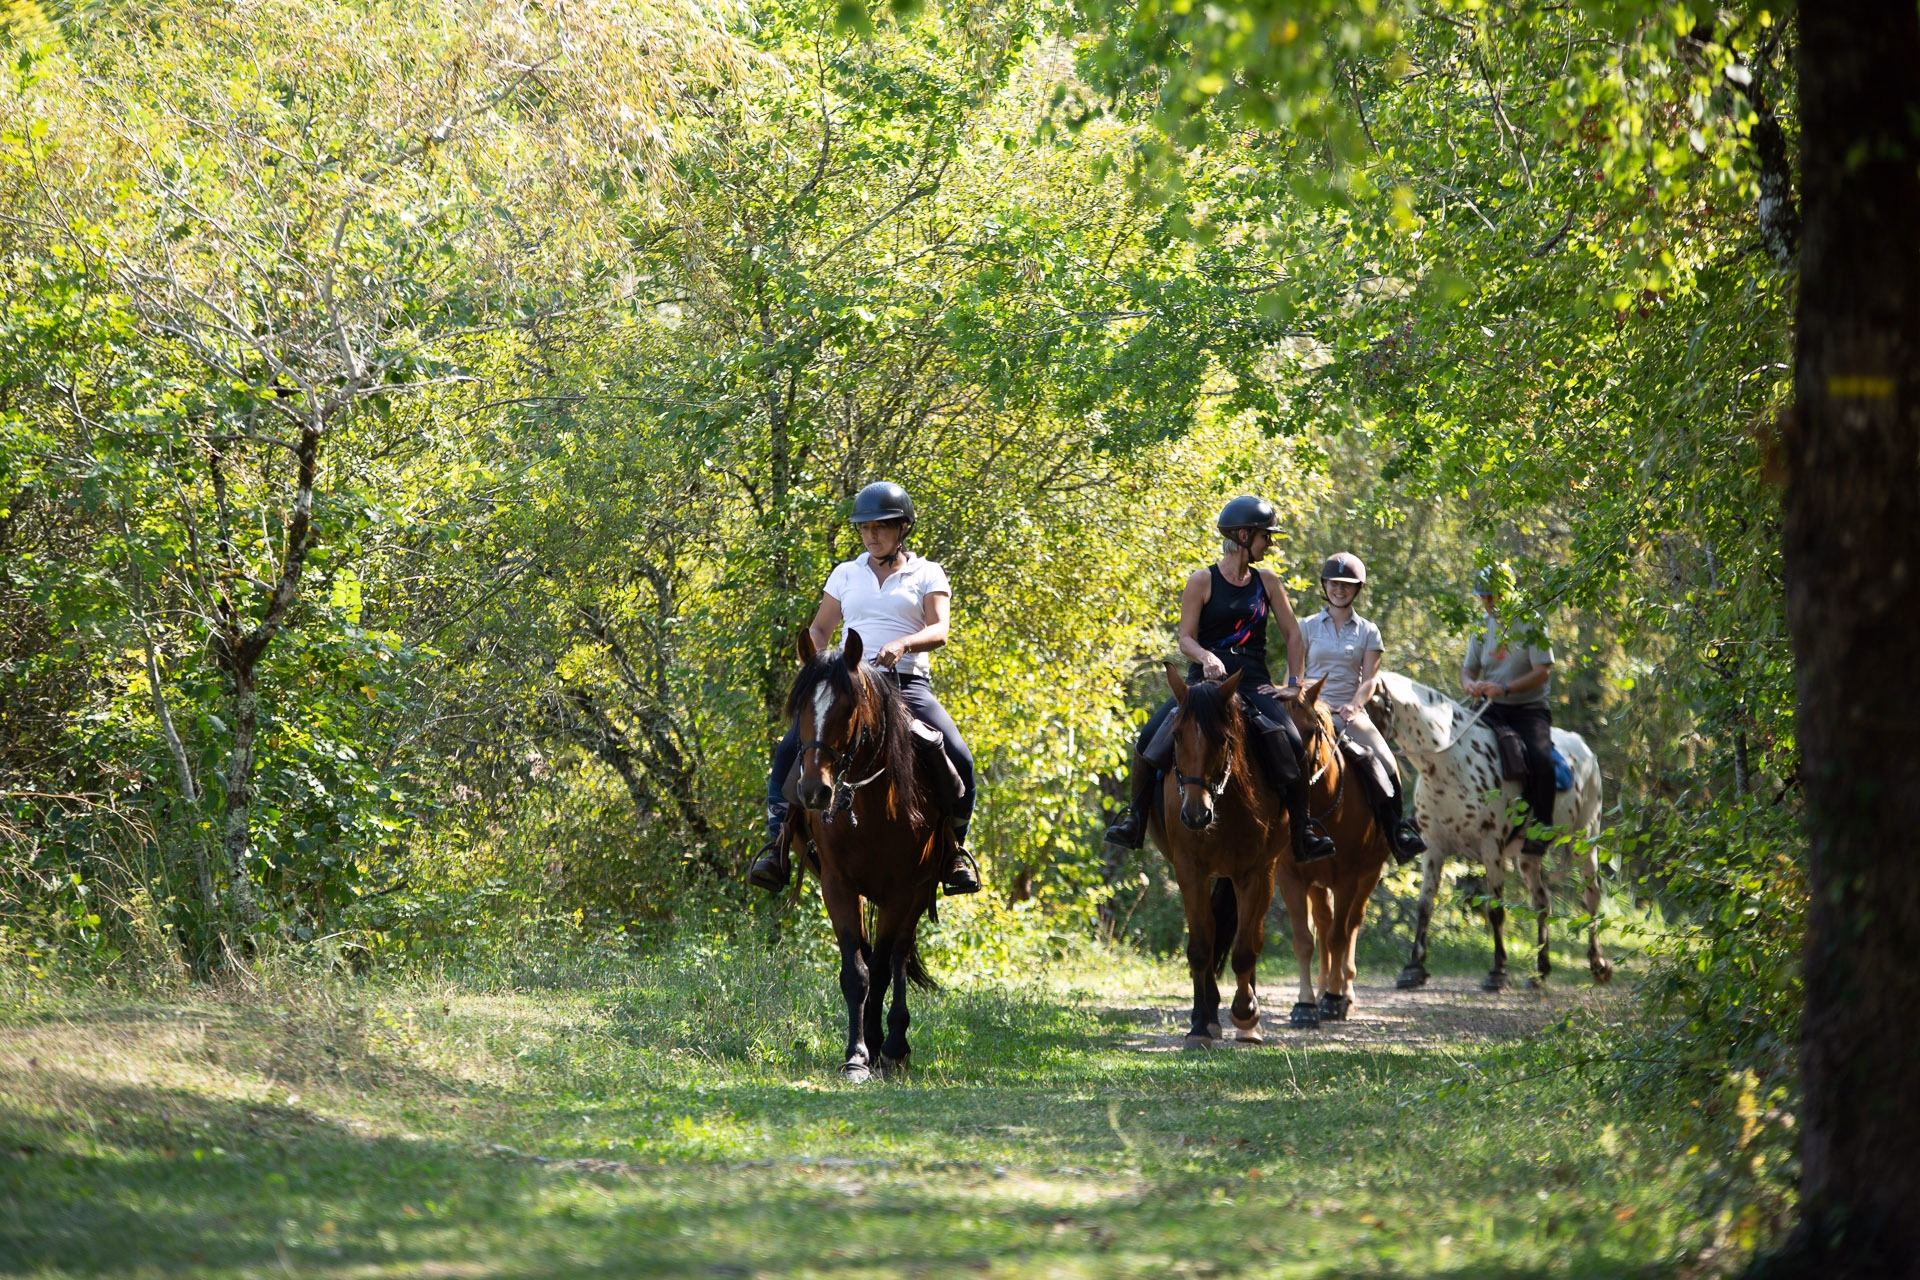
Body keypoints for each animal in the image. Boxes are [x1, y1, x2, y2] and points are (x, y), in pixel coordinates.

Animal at [784, 627, 948, 1082]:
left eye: (848, 707)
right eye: (800, 707)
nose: (814, 791)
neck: (871, 803)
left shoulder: (902, 889)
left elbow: (880, 968)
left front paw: (879, 1047)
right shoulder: (837, 885)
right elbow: (857, 971)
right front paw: (857, 1055)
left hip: (919, 892)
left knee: (897, 956)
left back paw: (894, 1044)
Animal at [1147, 666, 1291, 1046]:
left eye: (1224, 739)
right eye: (1176, 737)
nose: (1196, 816)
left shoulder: (1256, 872)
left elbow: (1245, 949)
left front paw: (1245, 1013)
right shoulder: (1189, 870)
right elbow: (1201, 945)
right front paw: (1201, 1023)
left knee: (1250, 935)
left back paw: (1249, 1020)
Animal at [1269, 676, 1397, 1028]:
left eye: (1311, 729)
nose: (1291, 782)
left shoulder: (1348, 878)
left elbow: (1340, 936)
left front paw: (1334, 1000)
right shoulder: (1292, 878)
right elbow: (1304, 940)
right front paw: (1305, 1005)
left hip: (1369, 875)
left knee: (1351, 924)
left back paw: (1344, 993)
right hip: (1317, 882)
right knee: (1324, 925)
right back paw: (1324, 985)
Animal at [1366, 671, 1612, 991]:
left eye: (1367, 701)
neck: (1449, 764)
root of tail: (1584, 748)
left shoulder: (1491, 847)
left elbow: (1495, 909)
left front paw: (1497, 972)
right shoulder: (1434, 847)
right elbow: (1424, 906)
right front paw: (1413, 968)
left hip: (1586, 839)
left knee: (1591, 896)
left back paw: (1598, 964)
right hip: (1527, 856)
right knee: (1541, 903)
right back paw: (1540, 972)